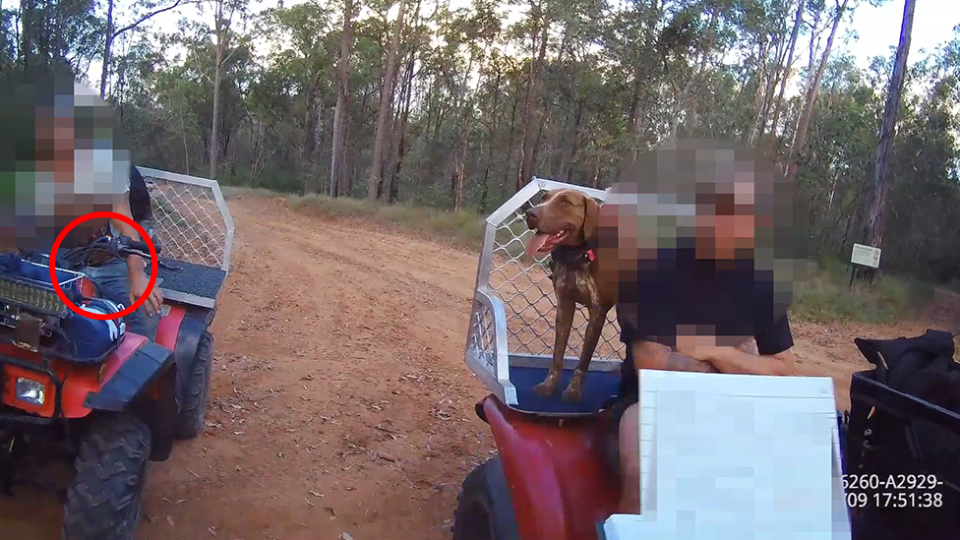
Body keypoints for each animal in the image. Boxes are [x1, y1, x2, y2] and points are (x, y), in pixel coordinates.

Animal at [524, 190, 616, 400]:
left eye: (565, 202)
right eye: (544, 197)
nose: (530, 214)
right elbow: (558, 354)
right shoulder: (565, 305)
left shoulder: (598, 313)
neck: (578, 257)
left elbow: (584, 360)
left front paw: (573, 390)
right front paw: (549, 385)